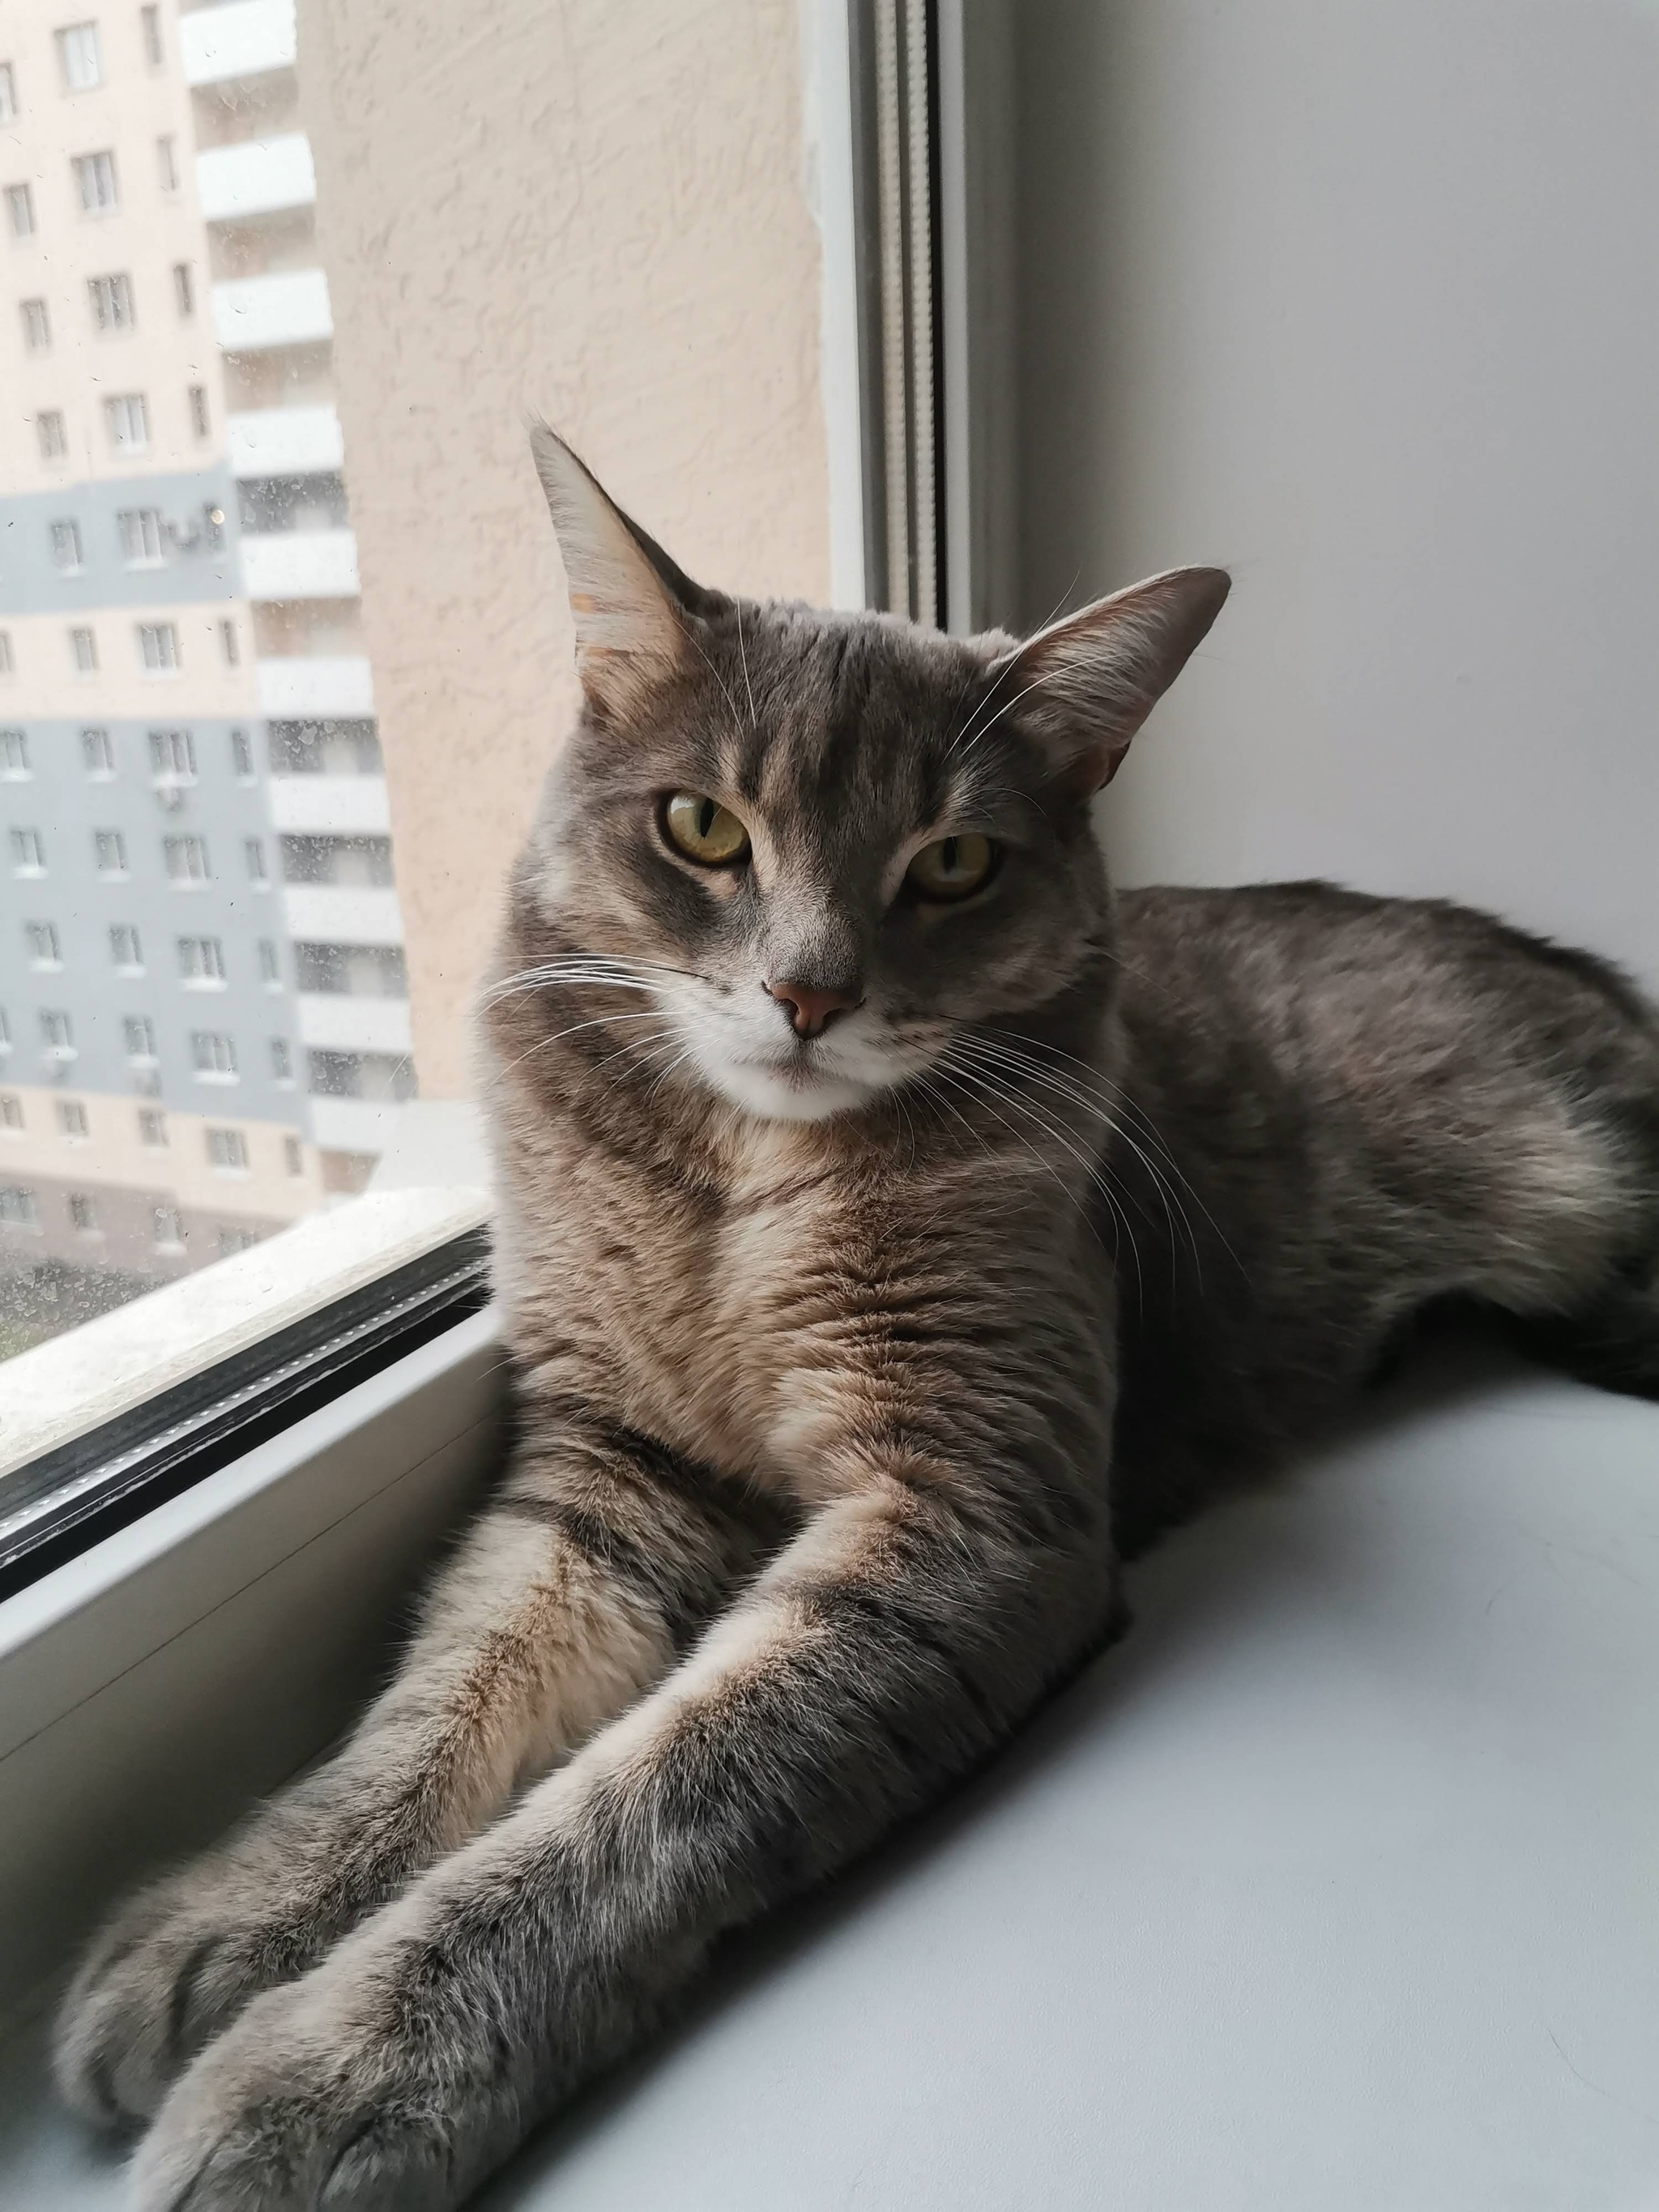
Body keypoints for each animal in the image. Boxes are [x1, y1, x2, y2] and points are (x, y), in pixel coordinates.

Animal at [56, 426, 1659, 2212]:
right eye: (700, 827)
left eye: (952, 862)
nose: (808, 994)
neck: (738, 1188)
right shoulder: (612, 1469)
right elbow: (436, 1701)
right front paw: (238, 1908)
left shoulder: (959, 1518)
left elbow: (643, 1804)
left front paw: (339, 2073)